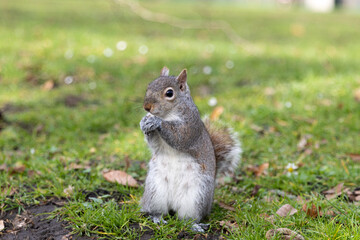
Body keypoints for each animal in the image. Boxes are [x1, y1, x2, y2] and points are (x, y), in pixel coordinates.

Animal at [139, 66, 242, 232]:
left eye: (169, 93)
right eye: (149, 86)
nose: (146, 107)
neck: (169, 114)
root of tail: (173, 205)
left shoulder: (190, 126)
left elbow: (179, 137)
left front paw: (156, 121)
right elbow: (154, 144)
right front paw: (144, 122)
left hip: (196, 197)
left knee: (187, 218)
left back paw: (194, 225)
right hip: (155, 191)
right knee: (158, 210)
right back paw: (157, 218)